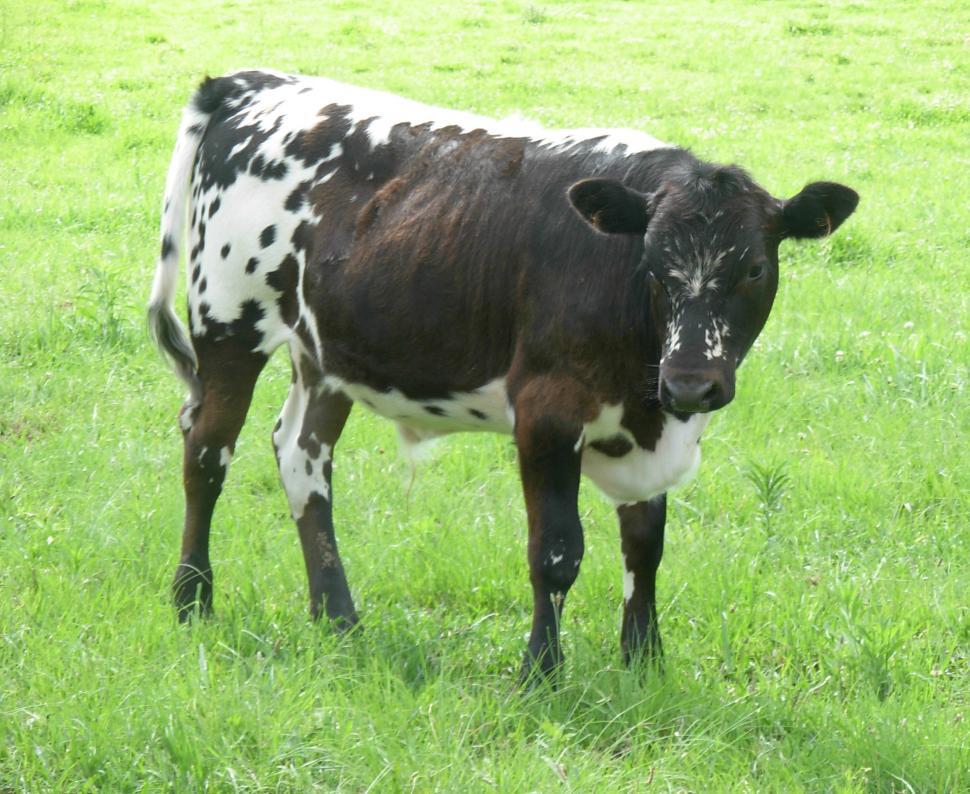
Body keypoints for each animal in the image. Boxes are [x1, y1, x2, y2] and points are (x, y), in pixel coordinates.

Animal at [148, 69, 858, 681]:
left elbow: (645, 545)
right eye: (652, 263)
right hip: (228, 323)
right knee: (206, 452)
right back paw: (192, 600)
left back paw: (336, 617)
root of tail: (251, 82)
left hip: (325, 351)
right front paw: (540, 674)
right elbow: (557, 552)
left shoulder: (649, 424)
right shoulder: (546, 412)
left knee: (302, 457)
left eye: (755, 269)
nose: (690, 382)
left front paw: (645, 663)